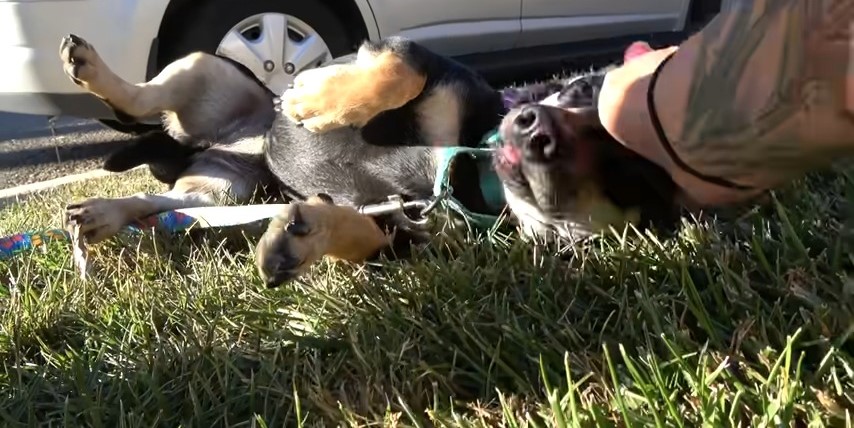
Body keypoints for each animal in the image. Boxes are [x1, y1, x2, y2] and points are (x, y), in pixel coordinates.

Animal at [60, 34, 684, 288]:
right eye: (580, 91)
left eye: (627, 177)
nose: (538, 132)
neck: (463, 167)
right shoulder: (421, 59)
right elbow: (395, 69)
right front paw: (315, 100)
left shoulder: (401, 229)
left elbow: (352, 230)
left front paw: (301, 236)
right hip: (207, 75)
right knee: (144, 98)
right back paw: (91, 70)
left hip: (227, 191)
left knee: (163, 202)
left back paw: (102, 214)